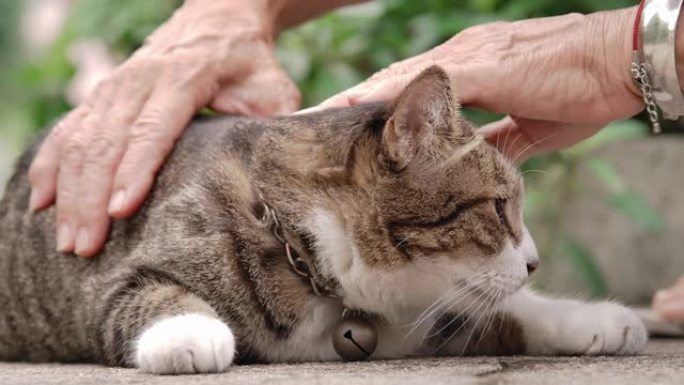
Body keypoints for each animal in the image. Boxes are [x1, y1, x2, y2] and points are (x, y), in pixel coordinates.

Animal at [0, 65, 648, 372]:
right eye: (498, 206)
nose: (535, 261)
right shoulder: (115, 279)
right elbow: (150, 294)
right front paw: (190, 334)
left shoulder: (437, 316)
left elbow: (510, 311)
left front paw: (601, 320)